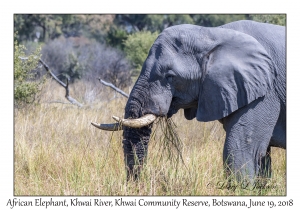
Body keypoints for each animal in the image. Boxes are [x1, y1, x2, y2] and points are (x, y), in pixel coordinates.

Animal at [92, 20, 286, 182]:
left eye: (170, 76)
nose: (138, 185)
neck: (212, 33)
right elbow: (261, 156)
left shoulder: (265, 92)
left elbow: (241, 150)